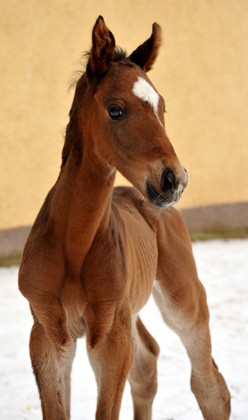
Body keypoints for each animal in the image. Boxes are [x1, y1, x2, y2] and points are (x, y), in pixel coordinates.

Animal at [18, 16, 231, 420]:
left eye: (162, 107)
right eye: (115, 109)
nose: (174, 179)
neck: (73, 246)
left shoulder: (110, 336)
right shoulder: (48, 333)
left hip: (183, 298)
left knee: (210, 386)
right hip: (129, 313)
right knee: (147, 365)